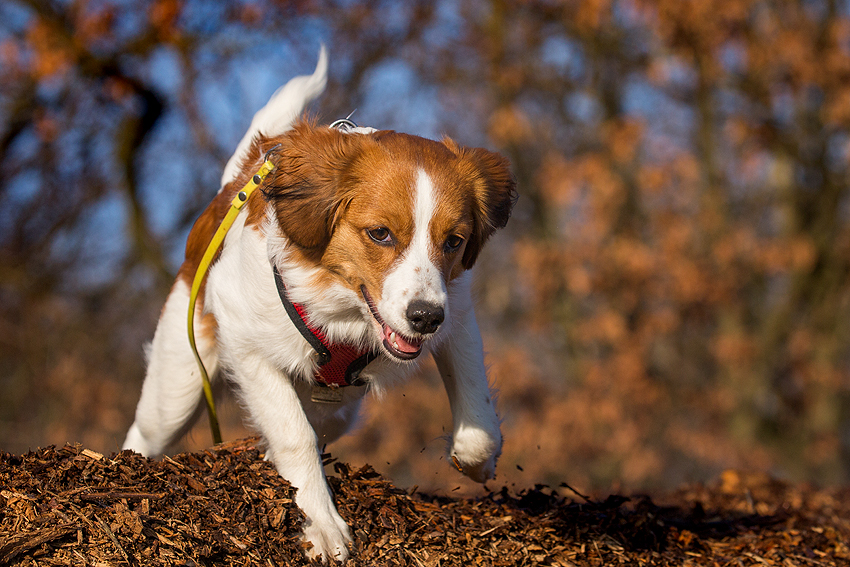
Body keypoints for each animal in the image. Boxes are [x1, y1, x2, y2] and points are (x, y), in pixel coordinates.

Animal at [122, 48, 512, 564]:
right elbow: (294, 434)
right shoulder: (247, 343)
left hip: (342, 404)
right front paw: (322, 524)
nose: (425, 318)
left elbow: (477, 407)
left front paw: (476, 457)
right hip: (180, 379)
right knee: (147, 432)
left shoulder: (457, 310)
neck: (344, 305)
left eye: (454, 241)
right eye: (380, 234)